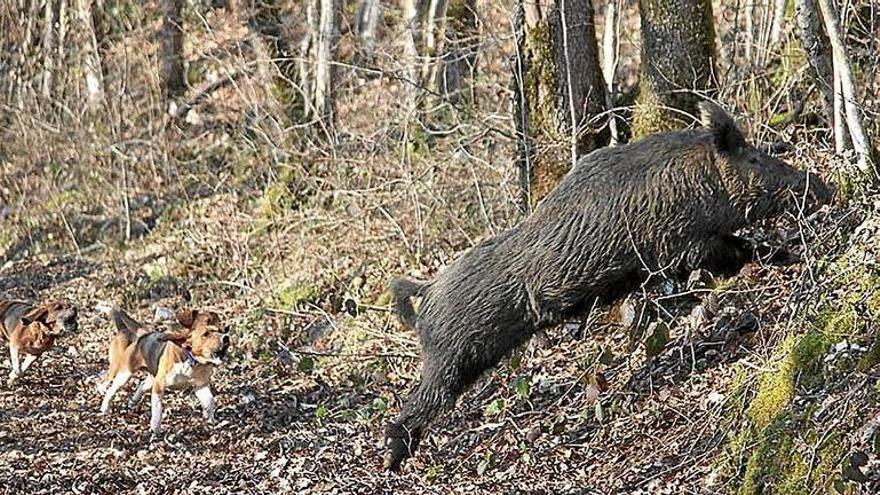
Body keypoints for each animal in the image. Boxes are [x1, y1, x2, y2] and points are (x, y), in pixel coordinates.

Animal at [96, 302, 230, 438]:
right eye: (206, 334)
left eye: (220, 331)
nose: (226, 337)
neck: (190, 359)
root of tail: (141, 335)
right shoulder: (159, 385)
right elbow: (157, 410)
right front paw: (155, 429)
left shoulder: (200, 385)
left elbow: (209, 401)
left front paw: (210, 419)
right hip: (124, 373)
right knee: (109, 387)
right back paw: (104, 406)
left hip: (150, 378)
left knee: (142, 385)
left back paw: (132, 402)